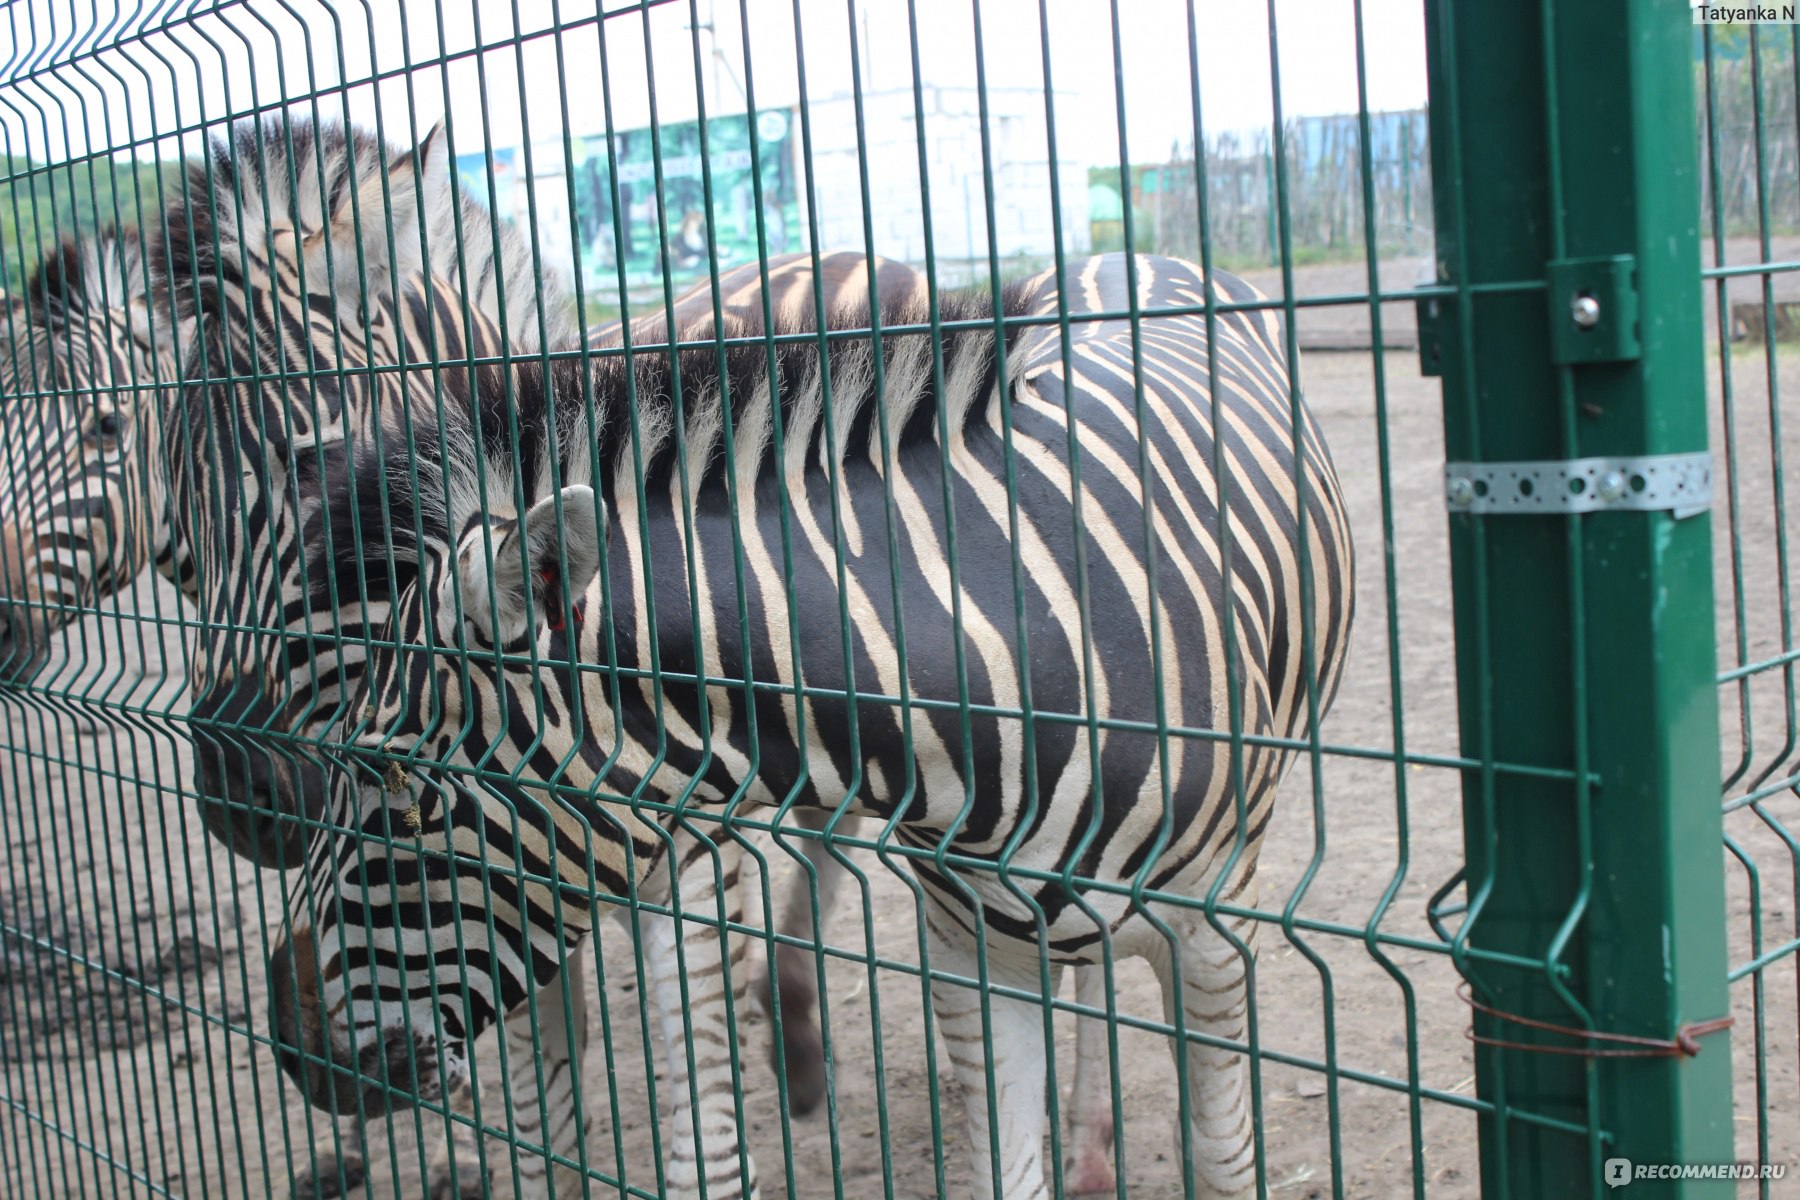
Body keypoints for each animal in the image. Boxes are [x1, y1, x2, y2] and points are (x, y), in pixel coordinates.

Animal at [266, 246, 1353, 1200]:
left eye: (395, 787)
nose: (288, 1036)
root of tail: (1129, 252)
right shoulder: (967, 950)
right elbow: (1006, 1170)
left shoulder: (1217, 944)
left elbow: (1225, 1163)